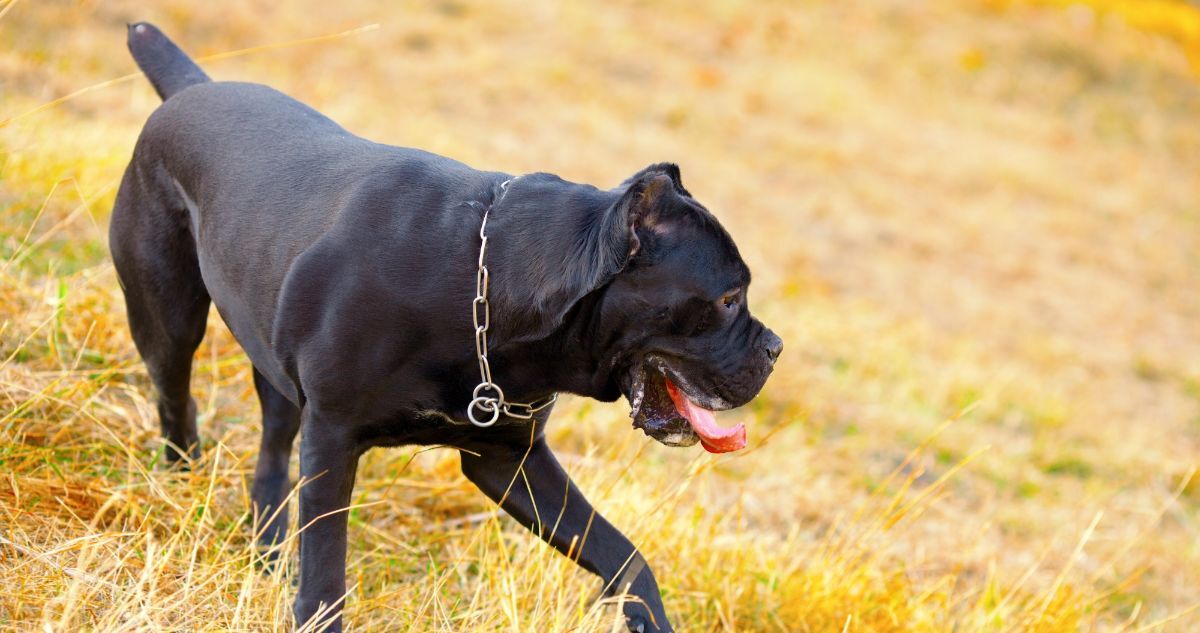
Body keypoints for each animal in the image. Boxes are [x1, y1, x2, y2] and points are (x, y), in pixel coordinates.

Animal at [112, 23, 782, 633]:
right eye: (729, 298)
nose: (775, 348)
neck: (483, 288)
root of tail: (192, 90)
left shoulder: (510, 460)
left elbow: (623, 553)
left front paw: (649, 617)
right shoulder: (332, 438)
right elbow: (326, 571)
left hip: (275, 368)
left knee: (272, 449)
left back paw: (267, 552)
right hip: (168, 321)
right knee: (178, 402)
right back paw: (183, 491)